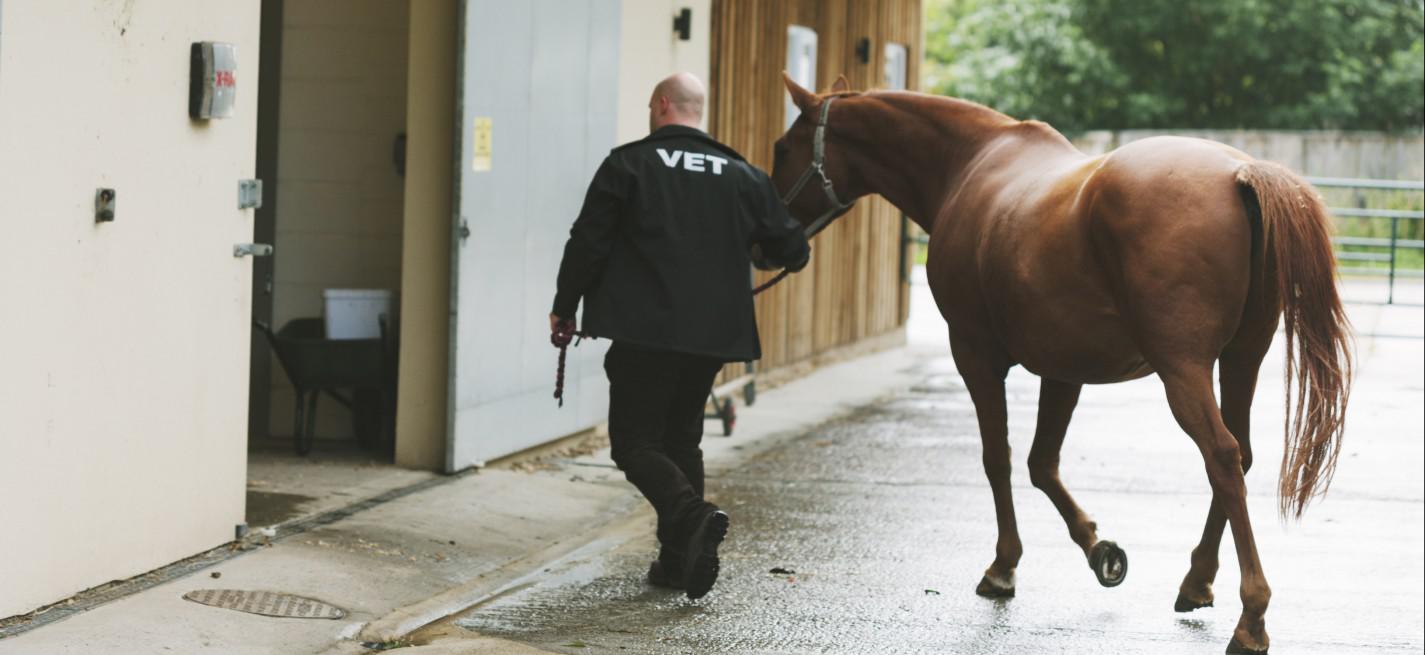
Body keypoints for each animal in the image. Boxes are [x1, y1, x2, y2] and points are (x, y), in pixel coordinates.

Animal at [775, 74, 1350, 652]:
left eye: (782, 148)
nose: (774, 240)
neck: (970, 165)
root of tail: (1239, 174)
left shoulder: (974, 355)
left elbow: (999, 459)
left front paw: (1004, 567)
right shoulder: (1064, 368)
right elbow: (1041, 463)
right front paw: (1101, 552)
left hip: (1183, 369)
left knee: (1222, 457)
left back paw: (1251, 618)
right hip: (1240, 360)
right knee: (1240, 455)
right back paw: (1196, 581)